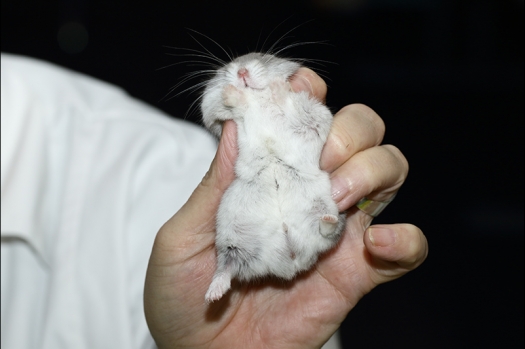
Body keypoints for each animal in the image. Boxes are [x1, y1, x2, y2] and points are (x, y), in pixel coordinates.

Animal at [201, 51, 344, 302]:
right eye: (228, 67)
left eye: (262, 56)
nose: (242, 72)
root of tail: (292, 263)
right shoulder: (228, 119)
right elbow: (241, 109)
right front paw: (230, 92)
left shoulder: (314, 117)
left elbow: (289, 105)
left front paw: (278, 86)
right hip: (230, 240)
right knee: (227, 267)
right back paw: (212, 295)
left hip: (323, 209)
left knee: (329, 232)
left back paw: (328, 219)